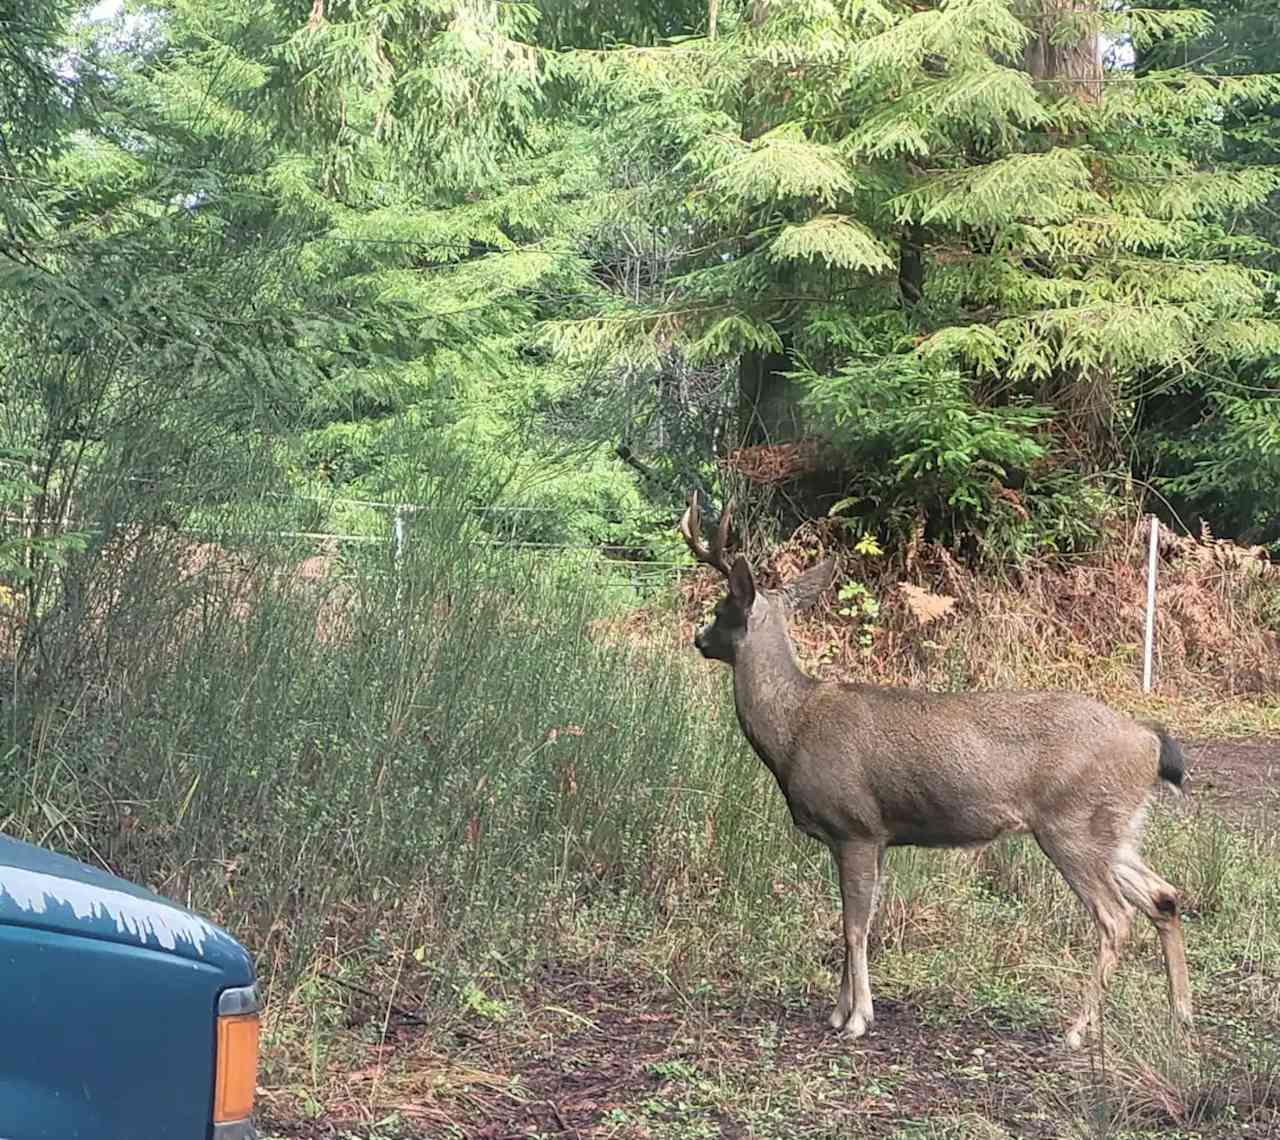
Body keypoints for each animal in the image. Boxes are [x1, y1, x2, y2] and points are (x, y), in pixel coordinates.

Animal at [686, 493, 1192, 1054]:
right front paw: (839, 1011)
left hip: (1072, 823)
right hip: (1114, 827)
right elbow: (859, 920)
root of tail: (1149, 740)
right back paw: (1181, 1016)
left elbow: (854, 927)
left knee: (1116, 918)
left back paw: (1078, 1029)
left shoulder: (855, 826)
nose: (698, 637)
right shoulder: (877, 837)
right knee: (1165, 897)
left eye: (720, 609)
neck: (792, 729)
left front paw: (858, 1017)